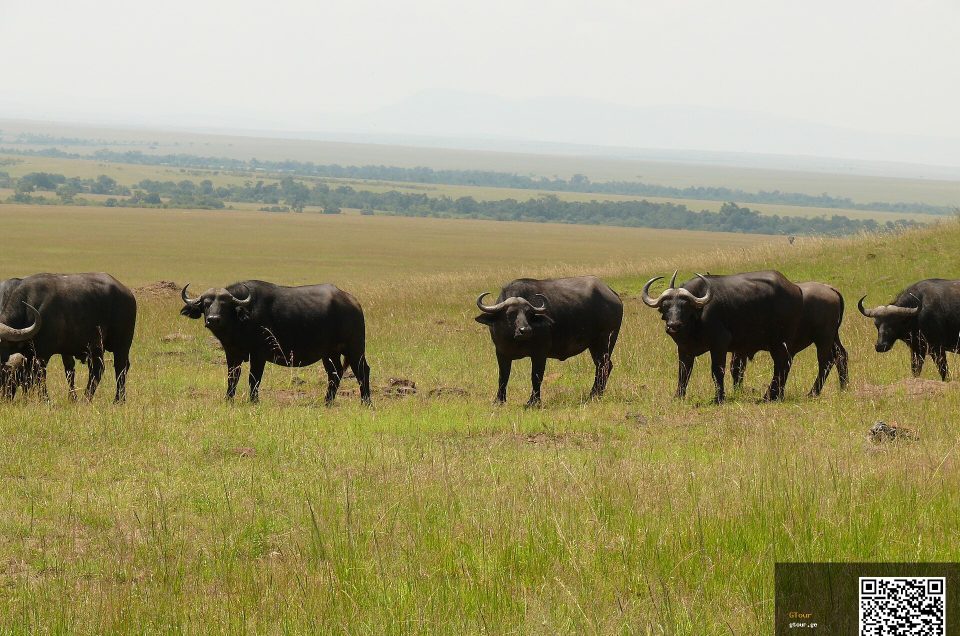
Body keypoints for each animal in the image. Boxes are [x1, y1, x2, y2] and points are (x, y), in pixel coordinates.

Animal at [0, 273, 136, 401]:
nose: (5, 397)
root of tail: (127, 293)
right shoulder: (29, 356)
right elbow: (30, 379)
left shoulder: (41, 355)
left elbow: (39, 377)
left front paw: (46, 400)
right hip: (96, 348)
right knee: (96, 369)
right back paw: (85, 399)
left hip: (122, 345)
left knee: (120, 368)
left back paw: (118, 400)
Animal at [180, 280, 371, 403]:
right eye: (206, 304)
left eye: (225, 304)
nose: (213, 319)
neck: (242, 321)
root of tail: (353, 302)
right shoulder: (232, 353)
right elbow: (232, 377)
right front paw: (228, 399)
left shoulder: (259, 354)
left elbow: (254, 378)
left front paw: (254, 401)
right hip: (330, 353)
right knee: (335, 373)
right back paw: (327, 402)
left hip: (355, 348)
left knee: (362, 371)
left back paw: (366, 401)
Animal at [475, 276, 623, 406]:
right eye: (510, 313)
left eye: (529, 314)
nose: (526, 330)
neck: (515, 339)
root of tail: (612, 294)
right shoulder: (501, 353)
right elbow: (503, 377)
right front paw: (499, 401)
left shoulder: (540, 353)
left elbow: (536, 376)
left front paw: (533, 402)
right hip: (595, 345)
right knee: (603, 366)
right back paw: (595, 394)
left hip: (604, 341)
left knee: (604, 366)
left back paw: (593, 395)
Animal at [642, 270, 803, 403]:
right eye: (665, 307)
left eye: (685, 306)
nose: (673, 325)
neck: (696, 320)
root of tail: (795, 289)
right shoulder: (684, 349)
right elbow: (683, 372)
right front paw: (678, 396)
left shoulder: (719, 345)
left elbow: (717, 371)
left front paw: (719, 398)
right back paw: (776, 395)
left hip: (780, 343)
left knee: (782, 365)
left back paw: (771, 396)